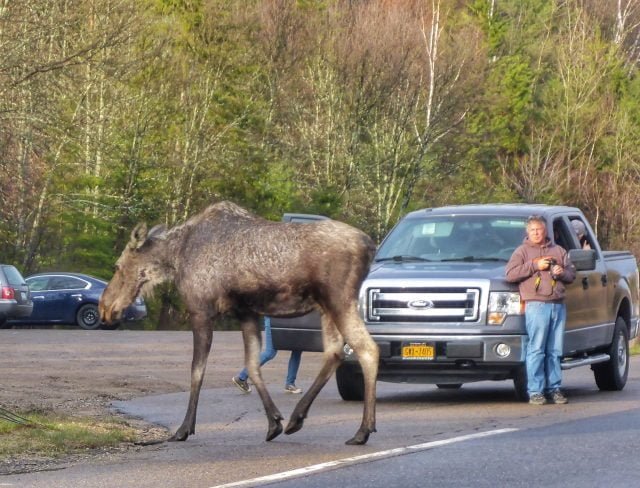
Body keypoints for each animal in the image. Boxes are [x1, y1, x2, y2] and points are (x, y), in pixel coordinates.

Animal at [99, 201, 379, 445]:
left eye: (117, 266)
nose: (105, 307)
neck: (176, 258)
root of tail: (370, 246)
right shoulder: (247, 313)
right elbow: (252, 365)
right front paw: (274, 422)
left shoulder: (201, 311)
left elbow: (197, 371)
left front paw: (184, 429)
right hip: (326, 308)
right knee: (334, 353)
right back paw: (297, 418)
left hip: (338, 300)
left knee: (368, 349)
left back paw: (363, 430)